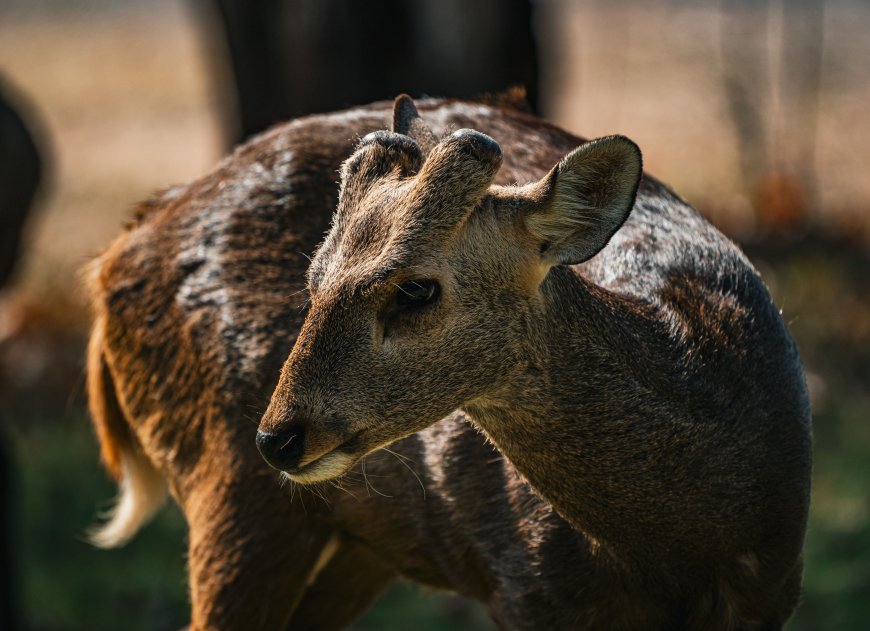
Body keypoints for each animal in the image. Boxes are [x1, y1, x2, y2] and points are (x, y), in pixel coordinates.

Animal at [86, 93, 713, 630]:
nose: (276, 438)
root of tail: (113, 258)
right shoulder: (528, 588)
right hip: (225, 491)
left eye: (416, 290)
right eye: (314, 279)